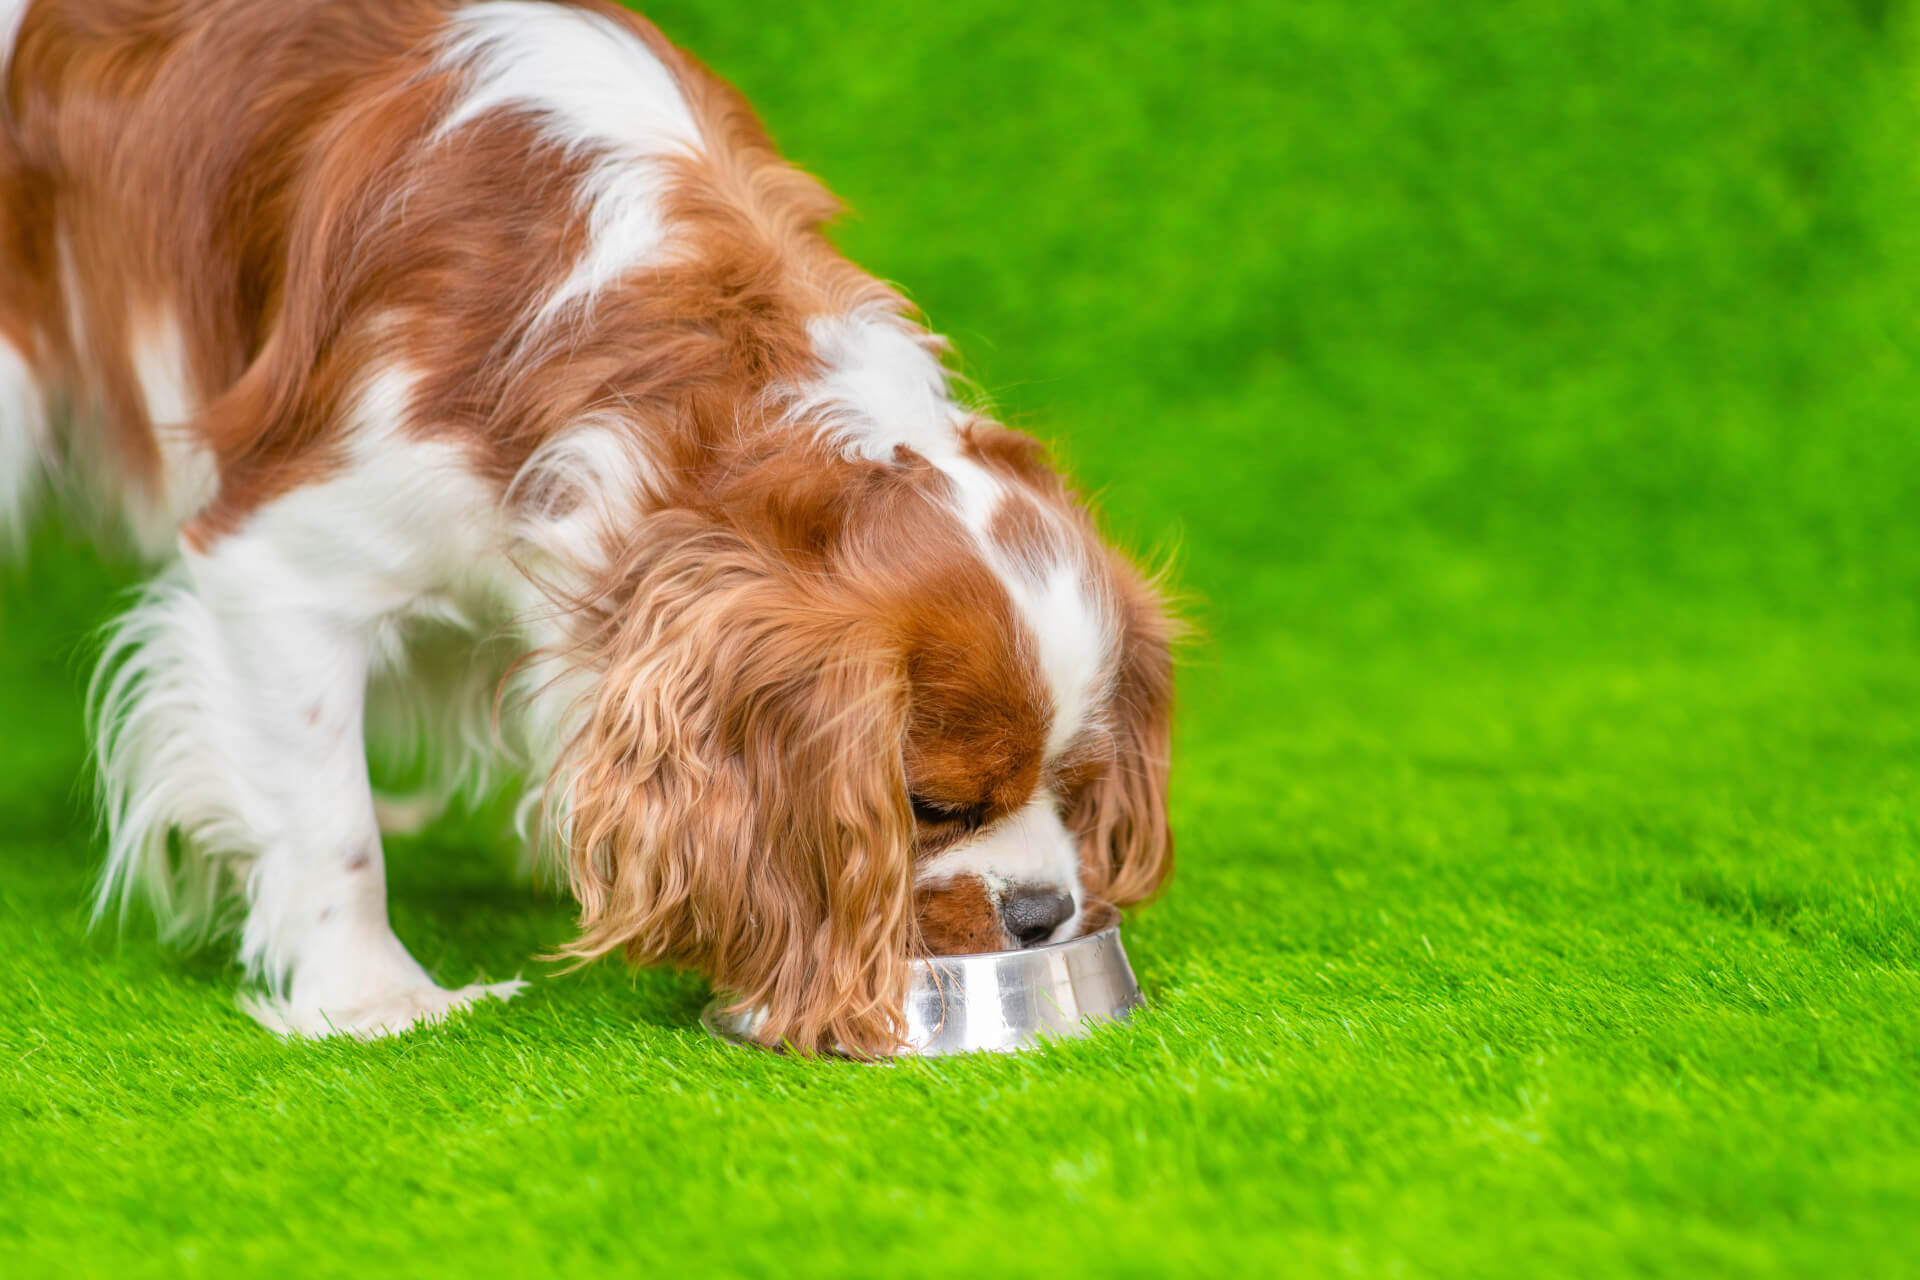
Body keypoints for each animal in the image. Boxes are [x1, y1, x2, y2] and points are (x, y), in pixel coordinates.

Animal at [0, 0, 1167, 1051]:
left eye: (1074, 791)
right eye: (929, 807)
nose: (1043, 915)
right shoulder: (277, 561)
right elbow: (330, 825)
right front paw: (375, 996)